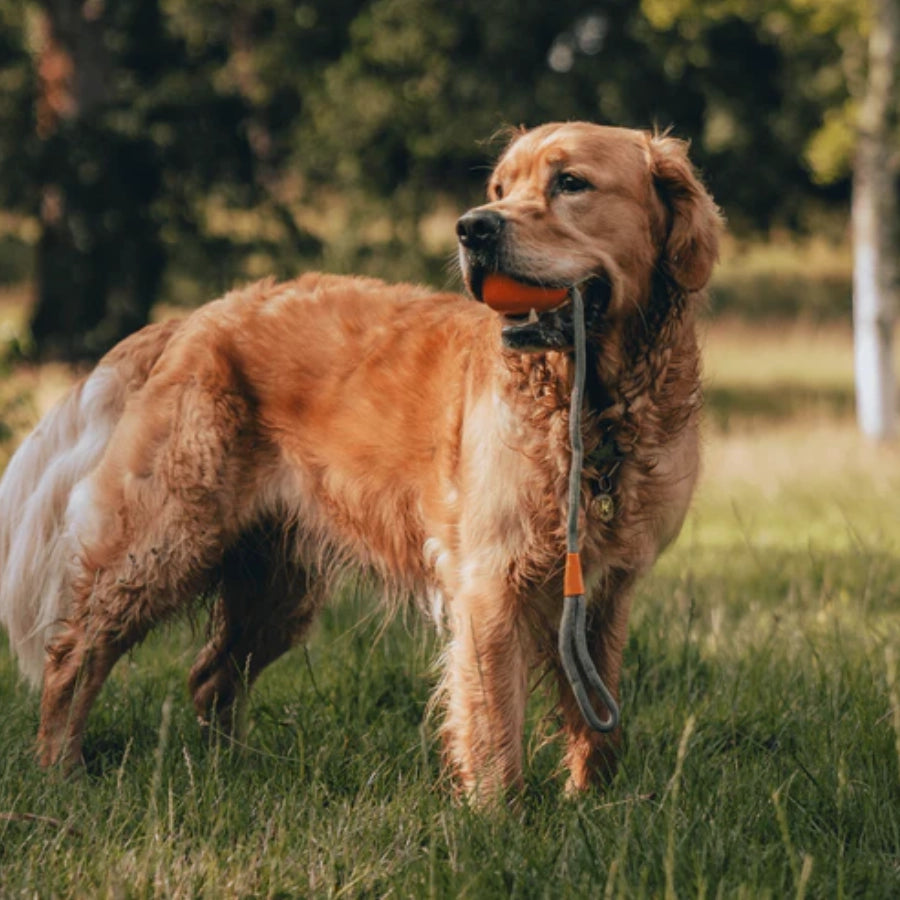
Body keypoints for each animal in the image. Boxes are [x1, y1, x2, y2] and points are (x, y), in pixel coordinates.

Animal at [0, 121, 716, 800]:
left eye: (570, 183)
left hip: (275, 585)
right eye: (499, 189)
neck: (590, 407)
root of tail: (196, 317)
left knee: (209, 676)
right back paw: (62, 772)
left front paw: (592, 804)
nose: (473, 227)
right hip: (163, 541)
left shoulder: (605, 590)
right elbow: (495, 726)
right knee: (74, 655)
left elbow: (599, 718)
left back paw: (230, 770)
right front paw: (498, 818)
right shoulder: (490, 581)